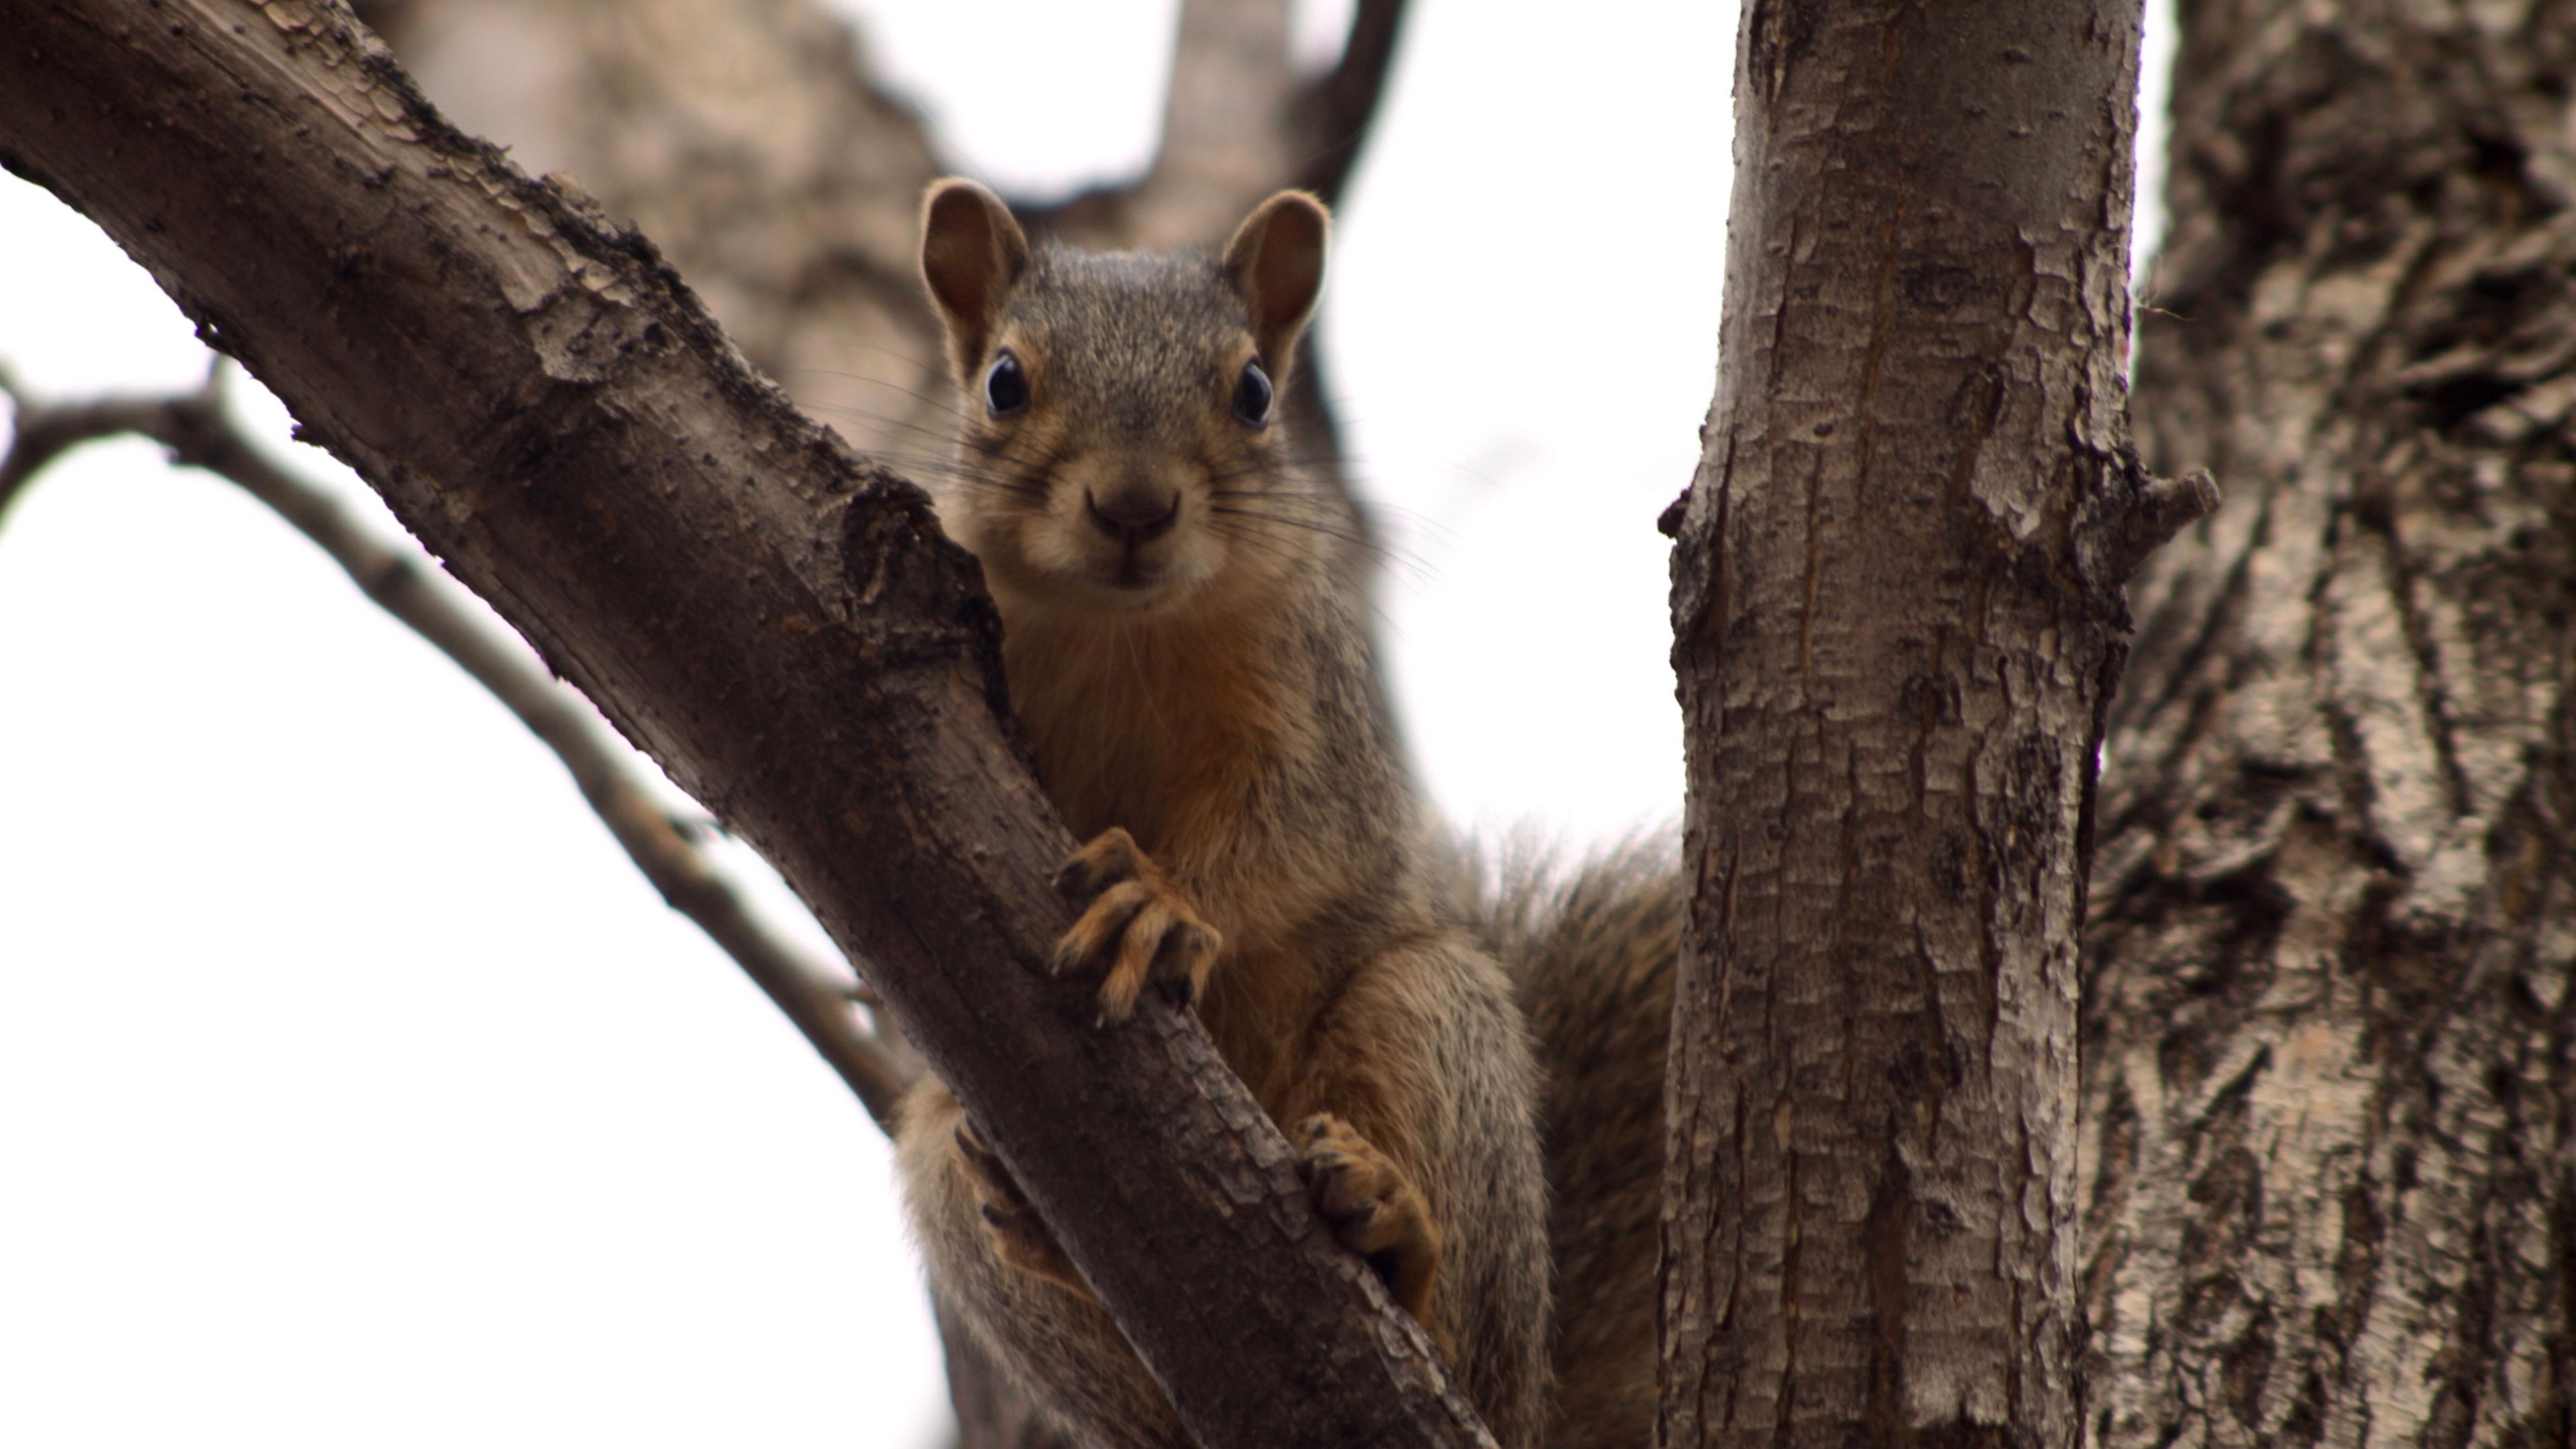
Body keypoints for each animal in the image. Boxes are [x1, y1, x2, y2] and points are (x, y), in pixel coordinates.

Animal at [889, 178, 1675, 1449]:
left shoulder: (1313, 699)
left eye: (1255, 392)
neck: (1119, 629)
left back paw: (1399, 1243)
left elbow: (1299, 830)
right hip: (939, 1164)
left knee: (1465, 1344)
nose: (1135, 507)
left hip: (1430, 1012)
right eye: (1004, 381)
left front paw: (1160, 900)